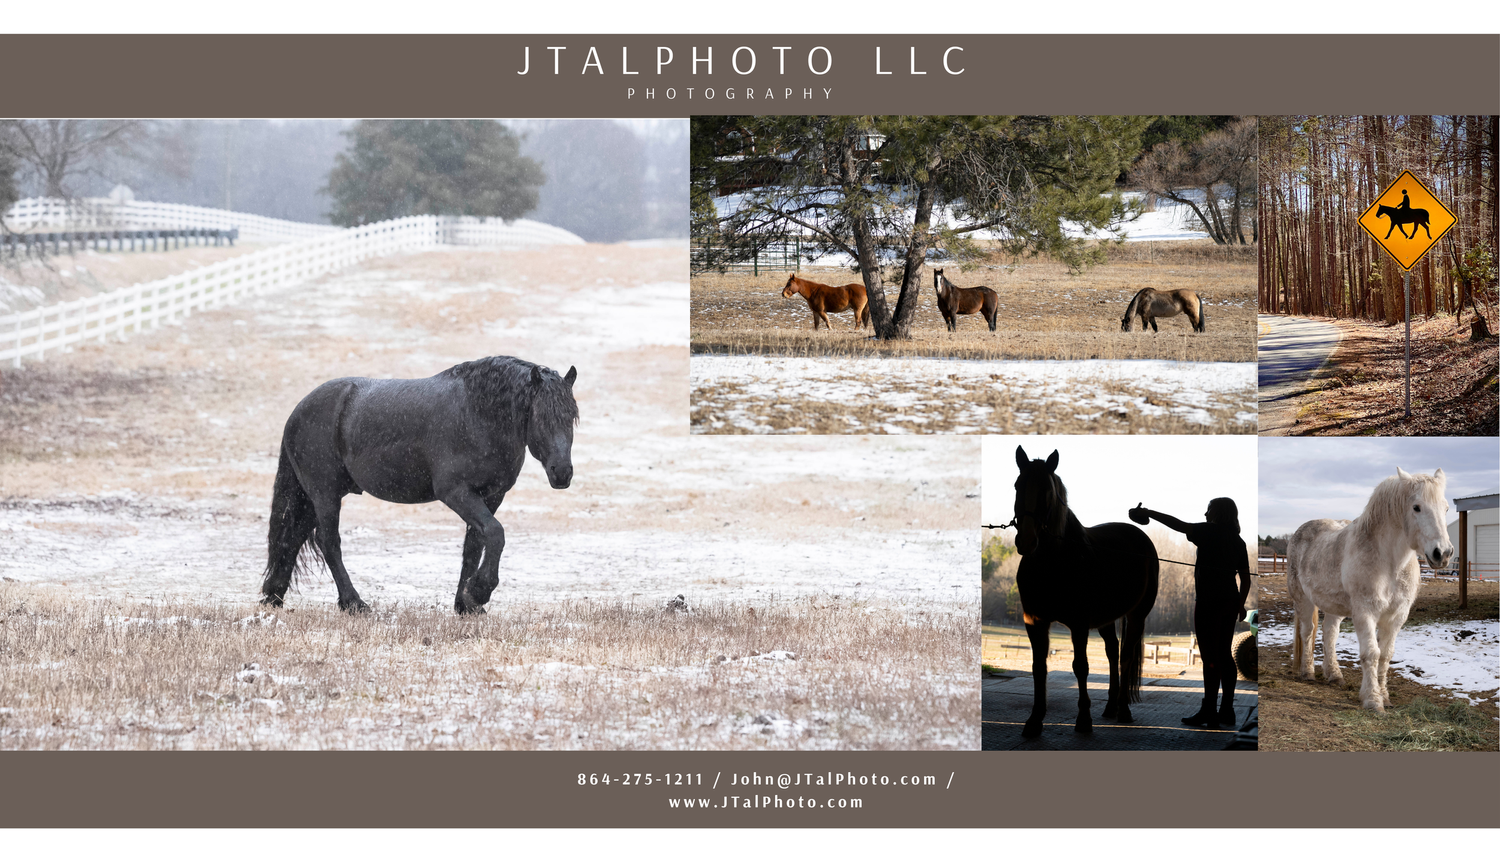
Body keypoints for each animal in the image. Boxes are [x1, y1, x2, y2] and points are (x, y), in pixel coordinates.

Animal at [261, 356, 579, 615]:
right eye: (541, 416)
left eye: (572, 417)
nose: (562, 473)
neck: (477, 414)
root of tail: (298, 411)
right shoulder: (456, 493)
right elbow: (495, 534)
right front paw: (479, 591)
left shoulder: (491, 496)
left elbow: (475, 545)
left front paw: (466, 603)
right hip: (325, 494)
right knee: (328, 542)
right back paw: (353, 603)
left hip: (313, 497)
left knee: (293, 537)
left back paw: (274, 595)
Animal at [1012, 446, 1160, 738]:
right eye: (1017, 486)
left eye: (1047, 490)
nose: (1027, 540)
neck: (1052, 562)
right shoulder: (1034, 621)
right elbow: (1038, 667)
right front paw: (1034, 721)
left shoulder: (1079, 624)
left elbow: (1080, 667)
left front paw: (1083, 720)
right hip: (1106, 618)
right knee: (1113, 652)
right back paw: (1111, 707)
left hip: (1137, 615)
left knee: (1125, 657)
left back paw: (1123, 710)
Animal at [1287, 468, 1454, 713]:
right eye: (1416, 507)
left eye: (1446, 508)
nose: (1442, 553)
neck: (1390, 564)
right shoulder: (1365, 613)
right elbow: (1371, 654)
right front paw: (1373, 700)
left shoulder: (1396, 617)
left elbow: (1385, 656)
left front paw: (1385, 697)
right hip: (1303, 600)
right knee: (1308, 632)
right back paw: (1307, 672)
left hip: (1334, 607)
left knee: (1329, 633)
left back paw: (1334, 675)